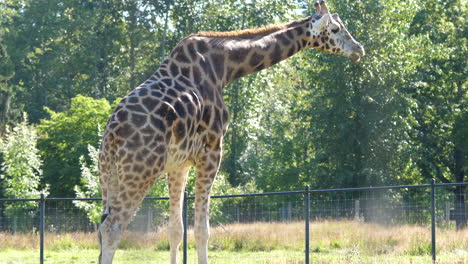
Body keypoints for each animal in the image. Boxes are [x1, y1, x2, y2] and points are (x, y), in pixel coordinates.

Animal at [98, 1, 362, 262]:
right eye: (336, 29)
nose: (359, 49)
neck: (224, 68)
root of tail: (112, 134)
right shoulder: (212, 150)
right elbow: (202, 230)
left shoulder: (179, 164)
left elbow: (175, 230)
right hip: (140, 171)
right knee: (113, 228)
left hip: (108, 175)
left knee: (102, 227)